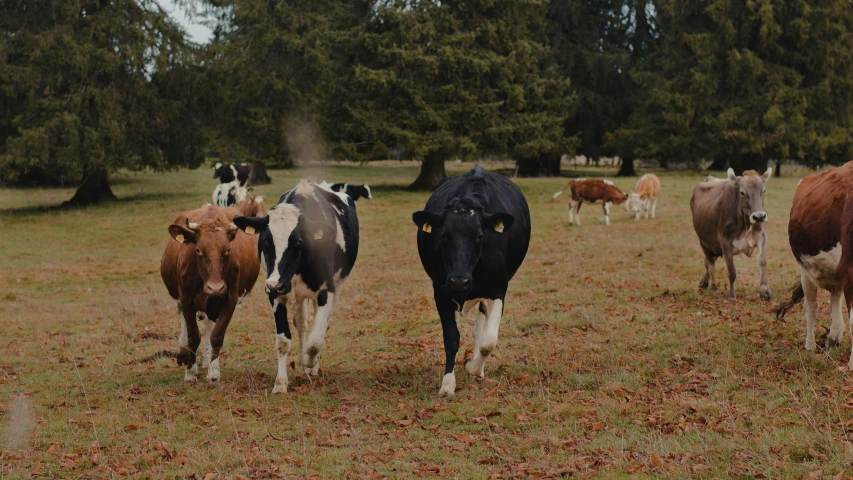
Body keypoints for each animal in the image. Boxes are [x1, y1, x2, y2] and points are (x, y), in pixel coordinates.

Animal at [160, 205, 260, 382]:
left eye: (228, 250)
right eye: (198, 249)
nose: (215, 288)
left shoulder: (230, 298)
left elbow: (216, 335)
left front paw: (214, 371)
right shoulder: (186, 298)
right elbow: (193, 336)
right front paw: (190, 372)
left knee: (209, 325)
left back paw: (206, 361)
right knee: (183, 319)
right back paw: (183, 352)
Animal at [231, 180, 358, 394]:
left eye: (298, 241)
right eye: (265, 241)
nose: (276, 284)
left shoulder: (326, 291)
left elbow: (315, 342)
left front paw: (310, 361)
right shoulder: (275, 294)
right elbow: (284, 341)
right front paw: (280, 383)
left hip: (337, 287)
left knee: (321, 326)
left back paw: (311, 364)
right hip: (296, 295)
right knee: (302, 323)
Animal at [410, 165, 528, 398]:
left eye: (480, 236)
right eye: (444, 235)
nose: (459, 281)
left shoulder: (498, 289)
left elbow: (488, 341)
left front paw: (472, 366)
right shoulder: (441, 290)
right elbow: (451, 338)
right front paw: (448, 384)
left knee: (481, 329)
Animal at [684, 167, 772, 298]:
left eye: (764, 190)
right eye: (742, 193)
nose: (759, 216)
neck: (745, 224)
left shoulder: (762, 236)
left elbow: (762, 262)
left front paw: (764, 290)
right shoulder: (725, 241)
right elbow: (731, 270)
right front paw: (731, 294)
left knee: (709, 261)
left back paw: (704, 283)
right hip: (704, 242)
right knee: (709, 263)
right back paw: (713, 286)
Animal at [776, 161, 852, 360]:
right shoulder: (850, 271)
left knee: (834, 297)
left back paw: (832, 338)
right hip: (806, 270)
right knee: (811, 307)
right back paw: (810, 345)